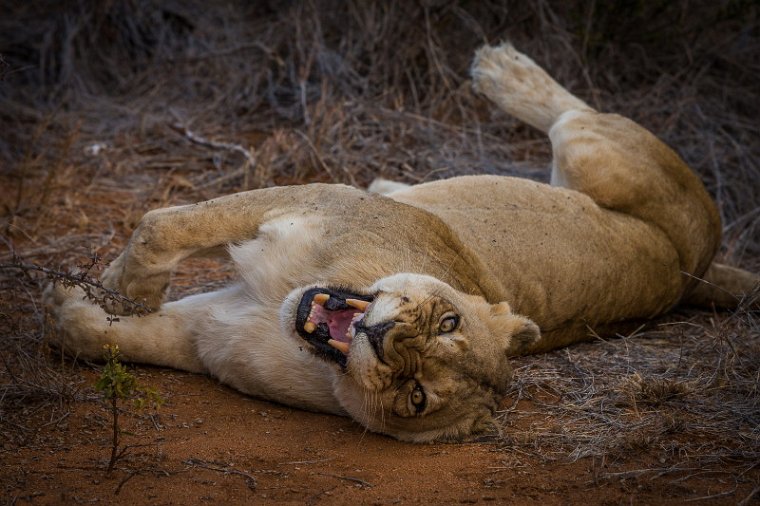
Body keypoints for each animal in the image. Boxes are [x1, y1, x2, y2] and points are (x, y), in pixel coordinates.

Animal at [43, 43, 760, 440]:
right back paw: (498, 69)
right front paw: (121, 288)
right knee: (573, 112)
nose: (387, 338)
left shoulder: (211, 337)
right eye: (448, 321)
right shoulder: (314, 198)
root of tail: (700, 269)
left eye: (416, 396)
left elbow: (107, 338)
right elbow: (165, 224)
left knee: (578, 116)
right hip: (595, 157)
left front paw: (70, 309)